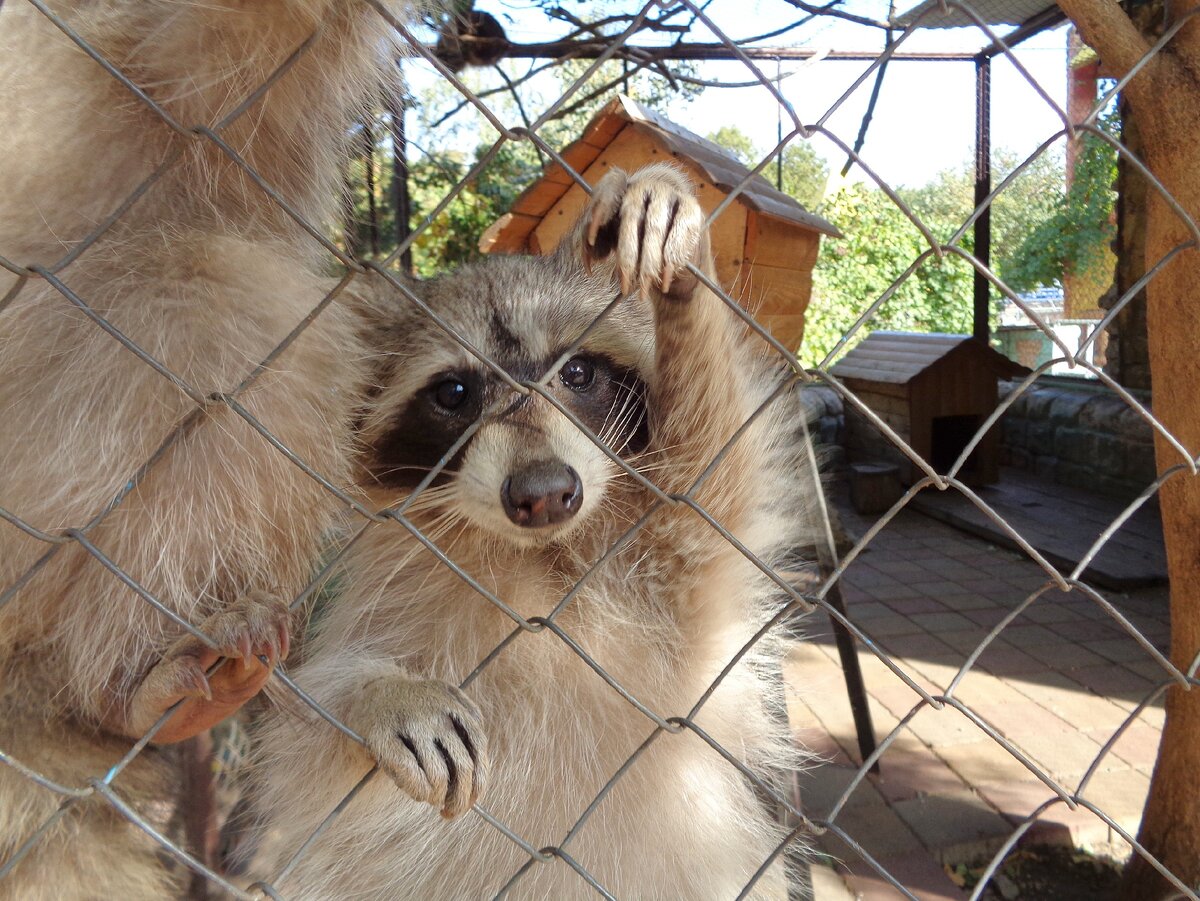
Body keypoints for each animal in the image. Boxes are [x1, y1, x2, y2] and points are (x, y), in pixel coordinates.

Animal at [252, 165, 816, 897]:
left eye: (576, 373)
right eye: (454, 393)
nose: (544, 494)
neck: (537, 556)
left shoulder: (681, 580)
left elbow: (713, 464)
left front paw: (685, 277)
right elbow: (303, 734)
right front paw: (374, 694)